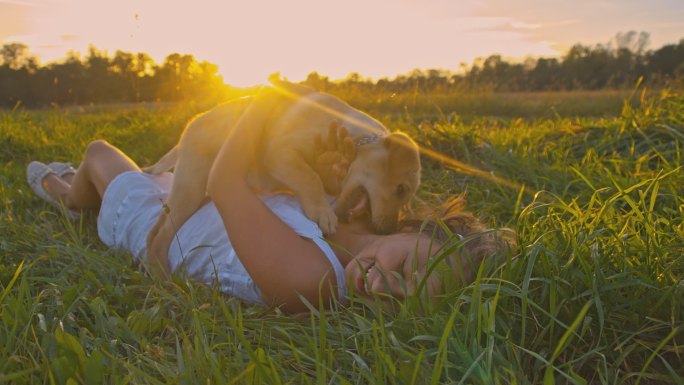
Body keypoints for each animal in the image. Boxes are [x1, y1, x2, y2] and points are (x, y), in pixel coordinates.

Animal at [147, 75, 420, 260]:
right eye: (401, 189)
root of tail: (189, 127)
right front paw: (322, 211)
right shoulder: (280, 152)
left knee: (156, 228)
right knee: (159, 238)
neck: (354, 136)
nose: (389, 231)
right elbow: (310, 177)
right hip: (190, 188)